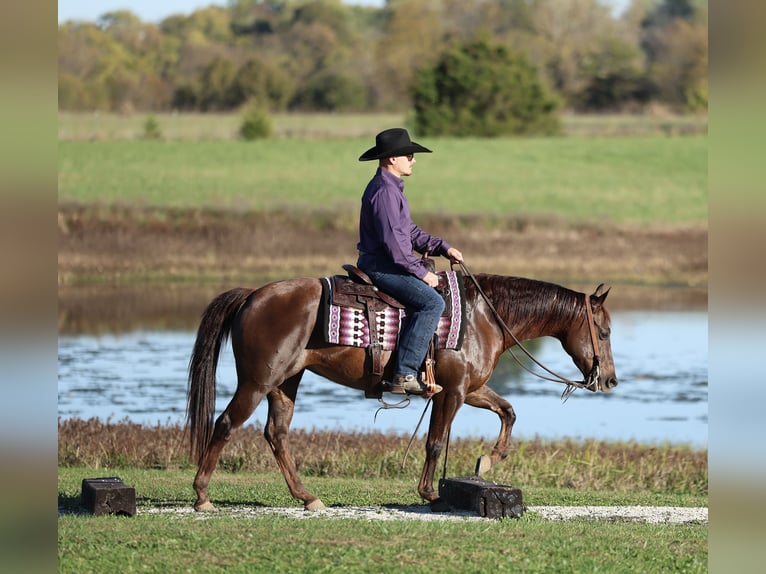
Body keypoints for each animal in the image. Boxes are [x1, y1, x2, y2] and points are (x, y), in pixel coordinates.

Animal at [187, 271, 618, 511]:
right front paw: (430, 493)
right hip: (258, 381)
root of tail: (253, 294)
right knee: (225, 424)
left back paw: (308, 497)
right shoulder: (452, 392)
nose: (610, 380)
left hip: (284, 382)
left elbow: (508, 411)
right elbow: (435, 442)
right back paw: (203, 496)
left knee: (276, 434)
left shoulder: (469, 388)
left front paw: (487, 462)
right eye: (605, 331)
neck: (484, 317)